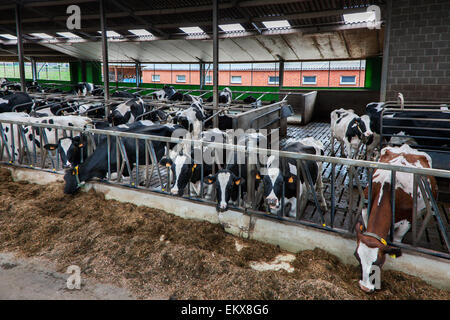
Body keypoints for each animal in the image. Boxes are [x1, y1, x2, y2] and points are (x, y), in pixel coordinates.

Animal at [356, 144, 436, 294]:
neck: (387, 187)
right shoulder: (365, 209)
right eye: (357, 257)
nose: (364, 287)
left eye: (378, 262)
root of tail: (406, 147)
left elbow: (398, 240)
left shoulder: (407, 220)